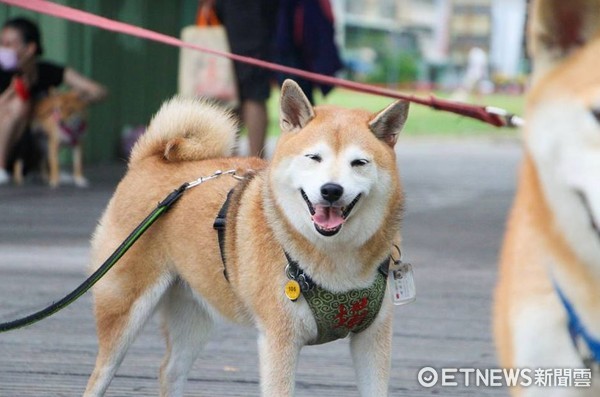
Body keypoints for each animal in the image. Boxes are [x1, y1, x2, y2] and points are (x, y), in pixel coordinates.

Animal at [83, 80, 408, 396]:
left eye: (359, 163)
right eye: (314, 157)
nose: (331, 190)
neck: (336, 255)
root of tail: (148, 160)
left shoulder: (373, 339)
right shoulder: (279, 341)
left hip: (193, 313)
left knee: (169, 371)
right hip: (123, 311)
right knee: (100, 375)